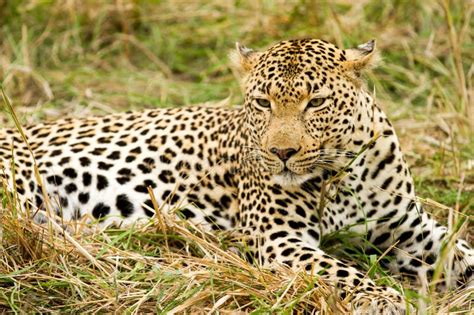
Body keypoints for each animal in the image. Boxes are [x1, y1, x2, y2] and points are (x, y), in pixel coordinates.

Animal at [0, 38, 472, 314]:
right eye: (263, 103)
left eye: (316, 102)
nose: (282, 153)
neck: (338, 174)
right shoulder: (281, 240)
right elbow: (340, 270)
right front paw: (381, 298)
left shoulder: (407, 228)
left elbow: (461, 253)